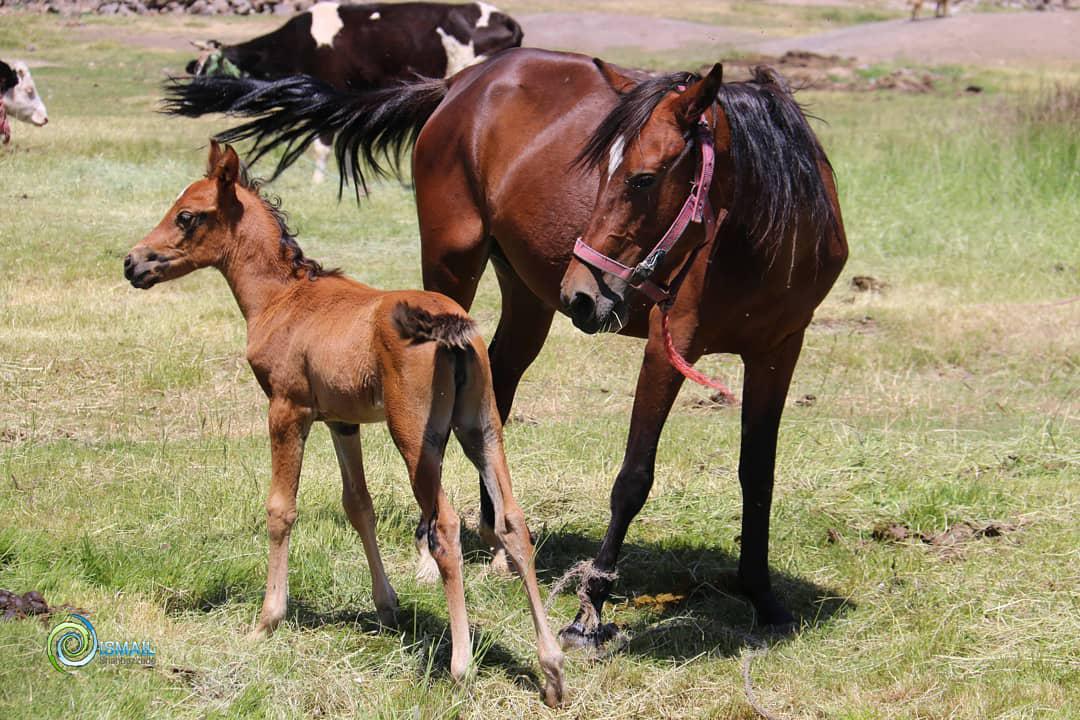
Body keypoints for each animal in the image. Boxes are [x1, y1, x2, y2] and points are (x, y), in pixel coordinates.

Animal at [122, 143, 565, 708]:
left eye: (186, 215)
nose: (133, 262)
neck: (282, 298)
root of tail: (452, 328)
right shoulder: (341, 422)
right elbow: (359, 506)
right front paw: (386, 606)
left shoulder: (287, 408)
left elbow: (280, 509)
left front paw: (266, 619)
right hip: (481, 429)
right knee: (512, 522)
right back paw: (552, 669)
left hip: (416, 437)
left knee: (444, 527)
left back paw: (461, 665)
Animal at [187, 1, 524, 181]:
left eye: (208, 66)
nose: (192, 95)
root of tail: (505, 17)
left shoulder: (330, 87)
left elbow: (322, 144)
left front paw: (318, 181)